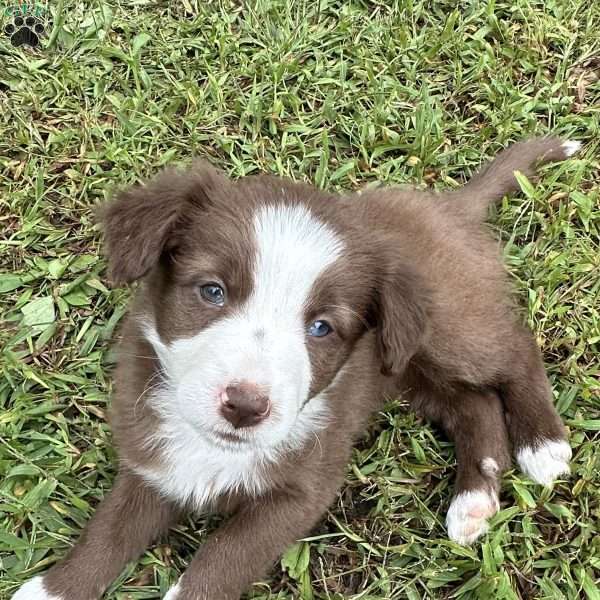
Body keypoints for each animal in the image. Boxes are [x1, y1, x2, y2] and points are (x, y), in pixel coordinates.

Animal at [12, 137, 576, 600]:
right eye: (212, 291)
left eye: (322, 327)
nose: (245, 407)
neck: (215, 450)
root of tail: (446, 207)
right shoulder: (153, 462)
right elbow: (107, 532)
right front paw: (51, 589)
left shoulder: (301, 492)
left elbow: (220, 562)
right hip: (402, 364)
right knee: (472, 404)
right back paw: (474, 500)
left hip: (452, 329)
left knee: (515, 351)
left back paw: (543, 445)